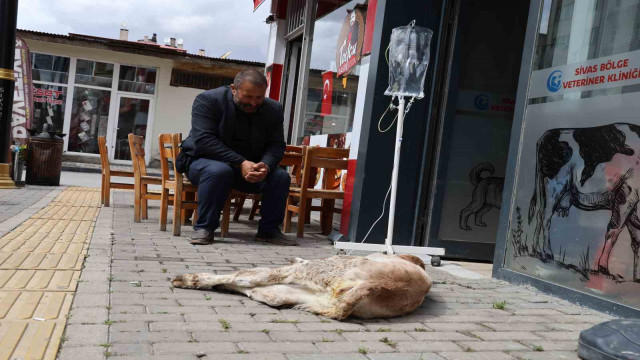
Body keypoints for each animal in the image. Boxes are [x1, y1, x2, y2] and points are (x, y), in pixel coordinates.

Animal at [170, 253, 432, 320]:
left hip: (311, 272)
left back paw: (186, 279)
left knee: (245, 278)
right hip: (301, 295)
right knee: (260, 291)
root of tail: (375, 285)